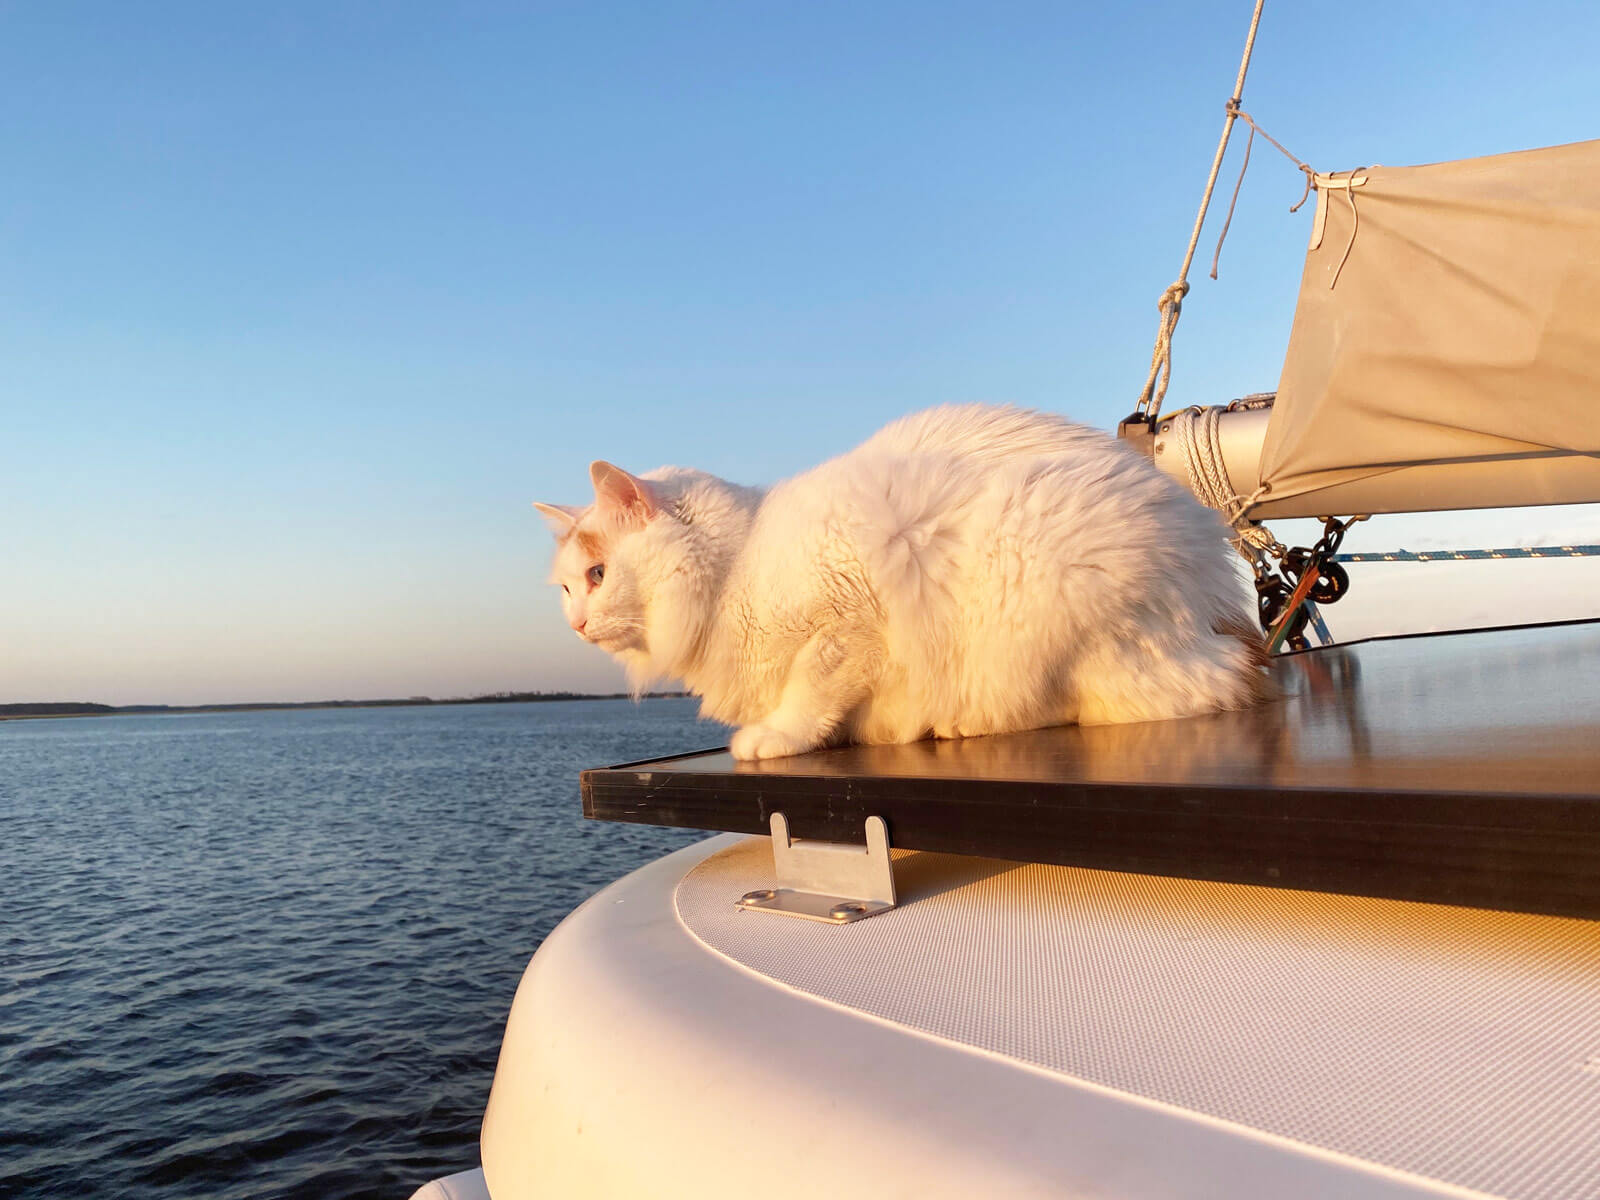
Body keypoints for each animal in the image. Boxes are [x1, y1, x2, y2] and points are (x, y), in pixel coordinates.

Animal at [537, 404, 1260, 761]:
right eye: (568, 590)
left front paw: (775, 739)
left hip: (1042, 573)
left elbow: (808, 694)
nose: (575, 625)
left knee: (1175, 692)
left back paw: (957, 724)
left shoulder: (849, 617)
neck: (733, 568)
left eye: (598, 575)